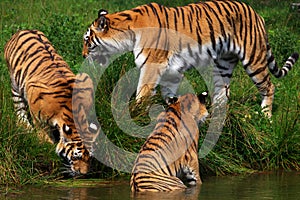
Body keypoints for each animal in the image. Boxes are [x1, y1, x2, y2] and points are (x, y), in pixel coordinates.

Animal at [3, 29, 98, 175]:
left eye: (90, 157)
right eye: (76, 157)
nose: (83, 174)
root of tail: (24, 30)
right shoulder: (39, 117)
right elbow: (46, 141)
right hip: (15, 85)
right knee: (20, 111)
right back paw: (25, 127)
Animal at [81, 0, 298, 116]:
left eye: (87, 40)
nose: (82, 55)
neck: (128, 32)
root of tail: (257, 14)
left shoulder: (152, 64)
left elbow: (142, 91)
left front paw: (134, 113)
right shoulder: (171, 70)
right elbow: (168, 94)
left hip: (254, 58)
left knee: (269, 86)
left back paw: (265, 116)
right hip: (223, 63)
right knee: (223, 92)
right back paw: (216, 116)